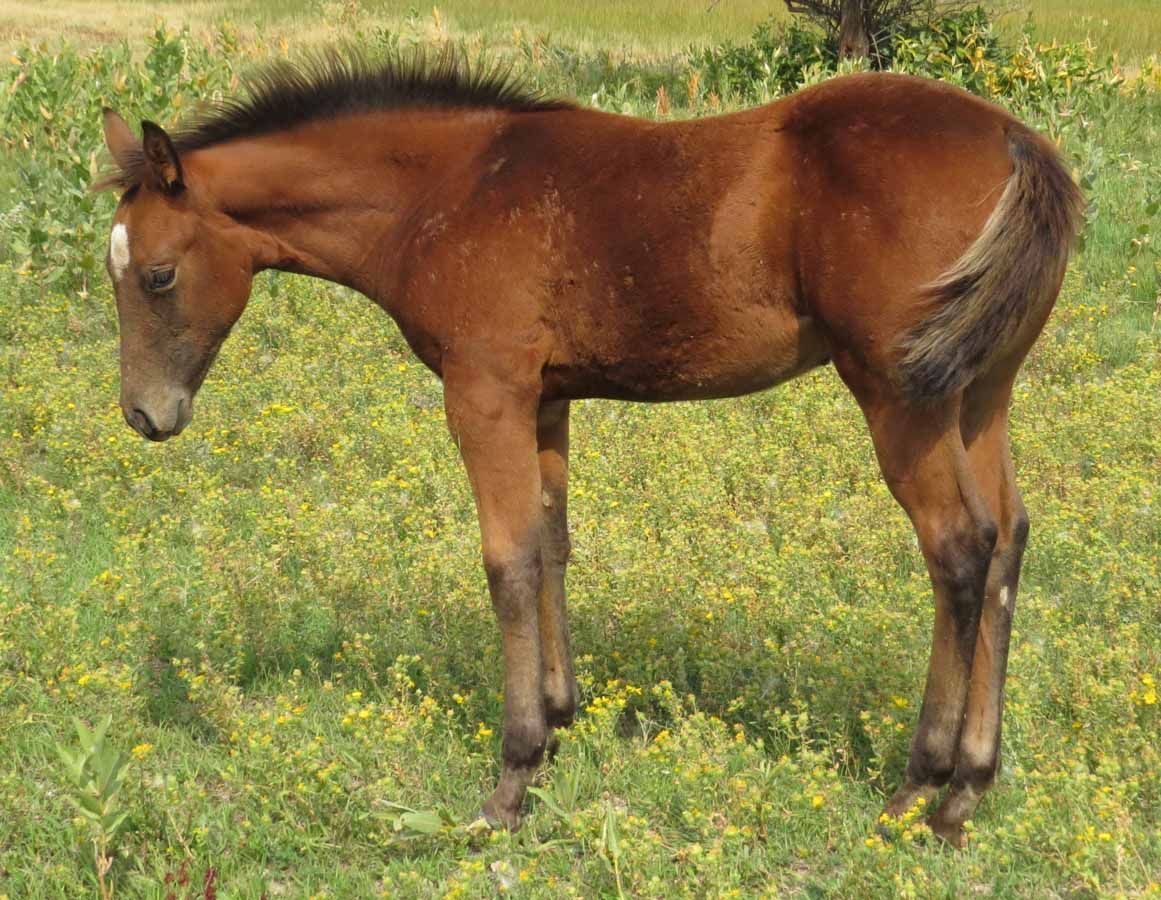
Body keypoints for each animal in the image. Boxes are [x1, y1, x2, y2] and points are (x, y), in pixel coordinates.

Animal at [95, 50, 1082, 846]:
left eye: (159, 275)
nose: (146, 414)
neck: (446, 188)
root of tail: (1013, 141)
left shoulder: (484, 389)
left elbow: (507, 560)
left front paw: (510, 778)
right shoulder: (546, 398)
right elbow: (552, 544)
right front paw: (561, 726)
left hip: (900, 391)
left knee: (958, 547)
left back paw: (918, 789)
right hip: (981, 391)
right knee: (1007, 540)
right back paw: (969, 792)